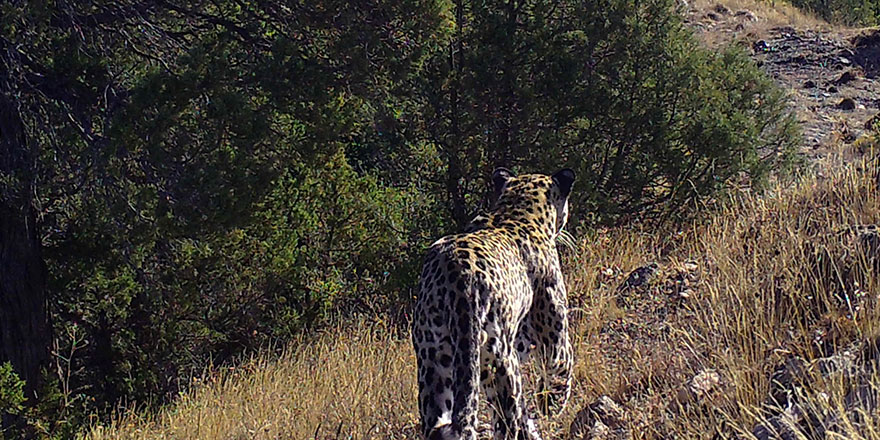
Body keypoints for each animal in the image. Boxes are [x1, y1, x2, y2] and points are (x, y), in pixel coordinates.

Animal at [412, 168, 576, 440]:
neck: (517, 210)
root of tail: (457, 275)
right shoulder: (554, 341)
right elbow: (559, 373)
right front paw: (548, 409)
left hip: (433, 359)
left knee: (437, 421)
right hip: (499, 360)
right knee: (506, 421)